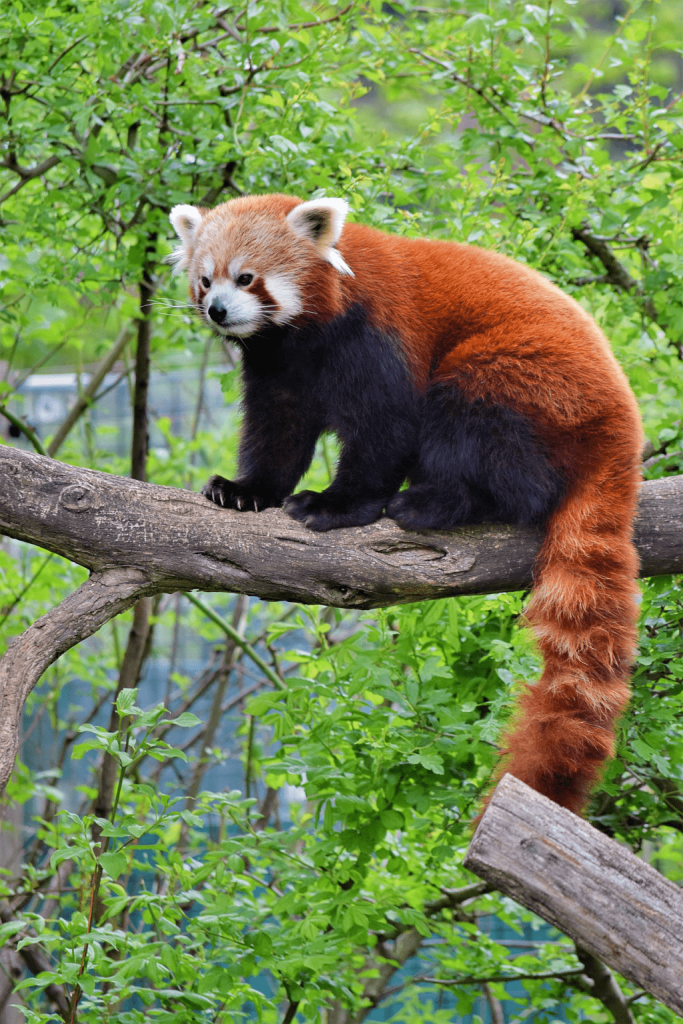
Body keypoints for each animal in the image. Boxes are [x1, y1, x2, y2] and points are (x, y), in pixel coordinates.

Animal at [169, 192, 643, 815]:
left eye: (247, 277)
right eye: (205, 280)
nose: (219, 310)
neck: (308, 330)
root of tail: (621, 431)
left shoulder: (380, 337)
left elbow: (384, 426)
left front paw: (335, 504)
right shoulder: (280, 365)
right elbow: (279, 429)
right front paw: (246, 491)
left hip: (525, 381)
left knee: (478, 427)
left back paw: (435, 503)